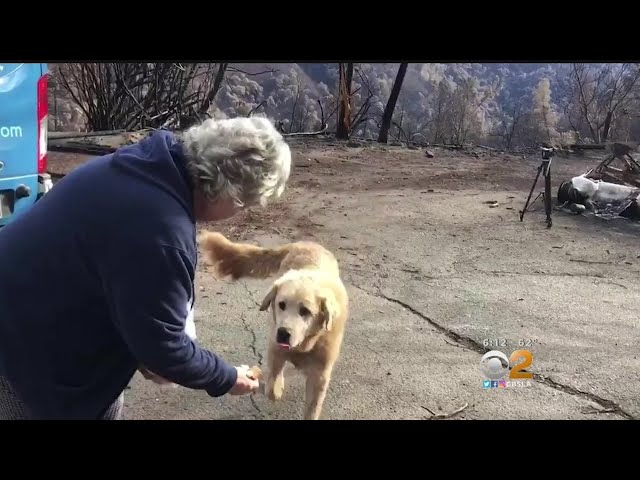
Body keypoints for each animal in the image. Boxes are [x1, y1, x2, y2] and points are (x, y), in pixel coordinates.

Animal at [198, 231, 349, 420]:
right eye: (281, 304)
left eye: (305, 311)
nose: (283, 333)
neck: (303, 345)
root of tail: (304, 243)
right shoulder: (275, 349)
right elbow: (273, 386)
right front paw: (276, 387)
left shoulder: (320, 374)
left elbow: (312, 407)